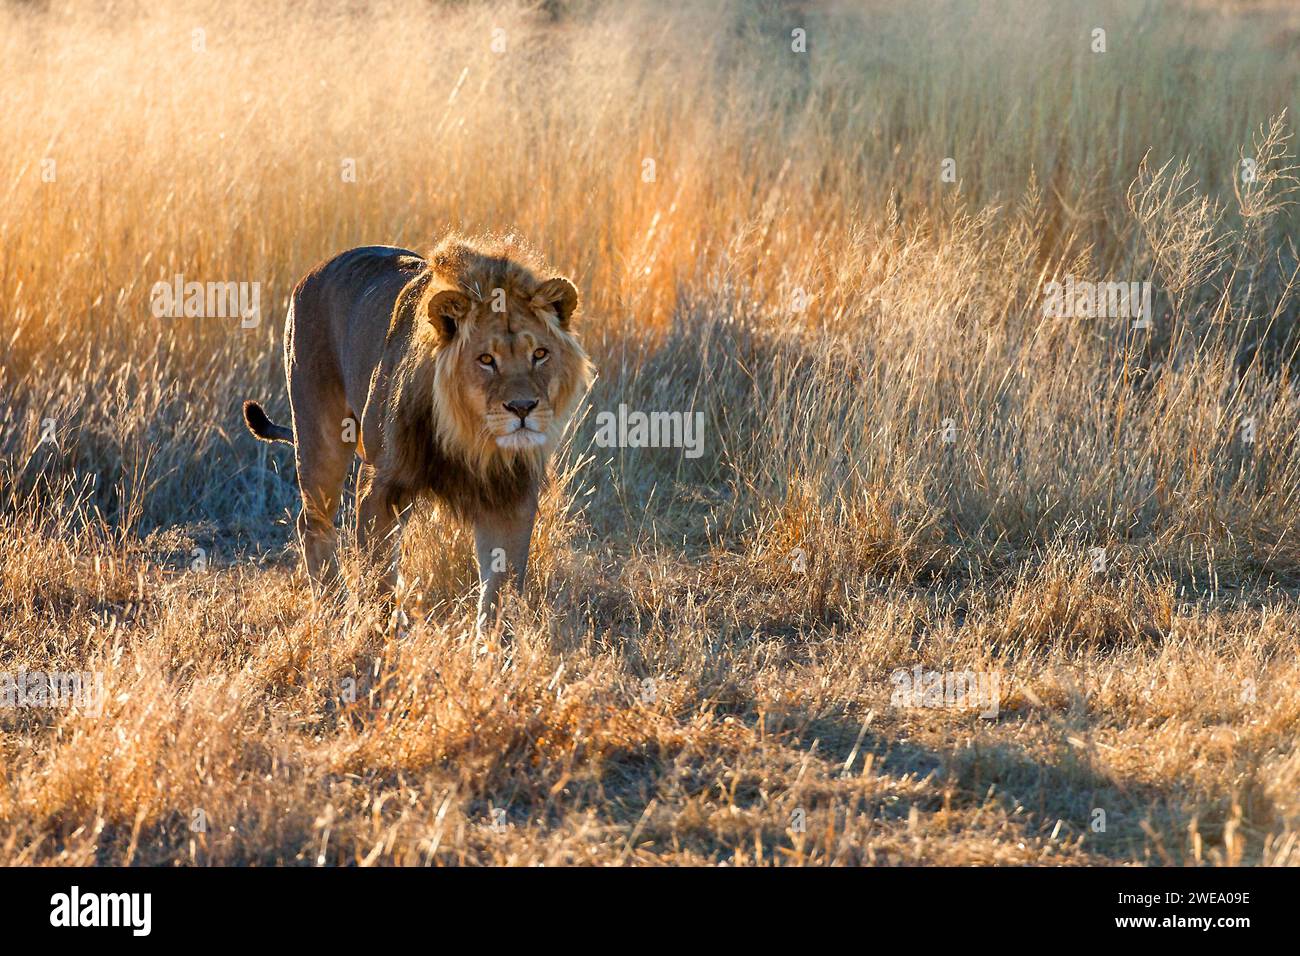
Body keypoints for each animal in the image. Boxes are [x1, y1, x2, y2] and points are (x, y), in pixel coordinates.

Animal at [243, 235, 595, 632]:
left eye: (540, 354)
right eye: (486, 360)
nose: (522, 408)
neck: (469, 435)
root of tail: (314, 272)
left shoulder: (510, 495)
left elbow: (500, 585)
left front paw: (491, 643)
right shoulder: (379, 486)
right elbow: (378, 573)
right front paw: (379, 633)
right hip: (320, 438)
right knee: (312, 522)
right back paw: (334, 607)